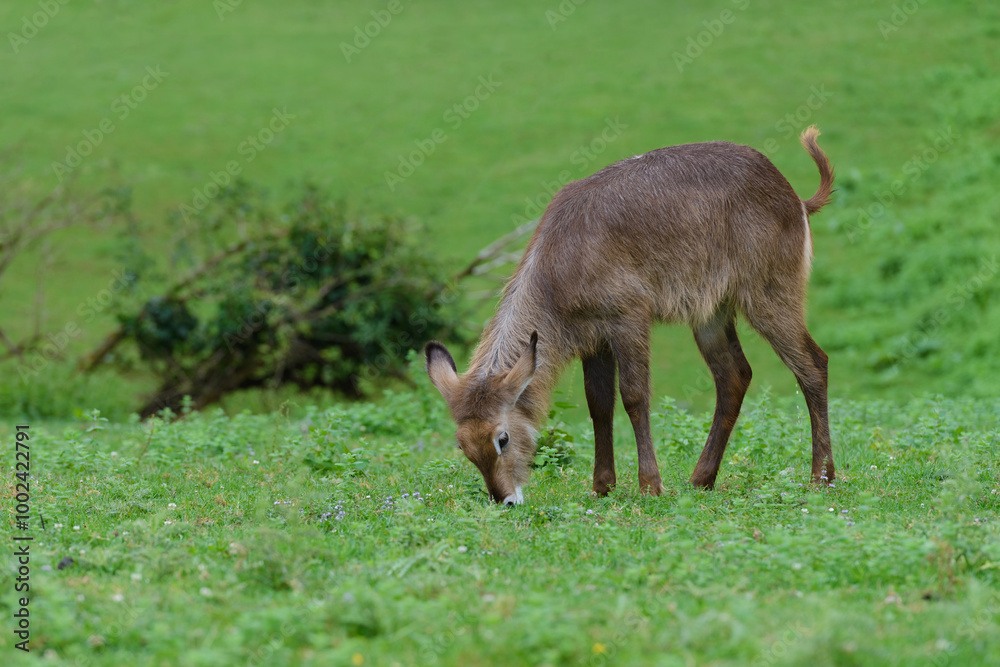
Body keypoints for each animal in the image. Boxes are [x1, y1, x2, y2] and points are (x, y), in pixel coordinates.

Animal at [425, 126, 835, 505]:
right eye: (462, 445)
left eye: (503, 438)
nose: (505, 500)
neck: (557, 266)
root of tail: (795, 196)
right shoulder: (592, 338)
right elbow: (598, 404)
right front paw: (602, 487)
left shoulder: (628, 317)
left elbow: (635, 397)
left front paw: (650, 485)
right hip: (711, 313)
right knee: (735, 376)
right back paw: (700, 480)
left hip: (768, 295)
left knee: (813, 363)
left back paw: (822, 478)